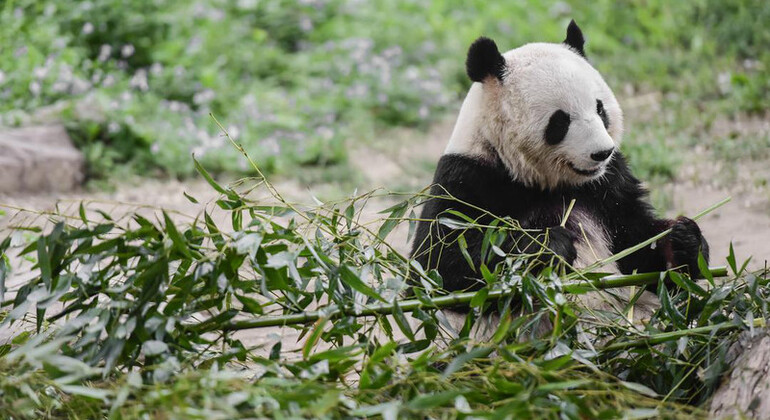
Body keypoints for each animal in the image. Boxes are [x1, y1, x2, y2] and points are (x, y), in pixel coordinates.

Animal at [408, 18, 708, 324]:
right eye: (561, 120)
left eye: (600, 109)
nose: (602, 152)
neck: (541, 180)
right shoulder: (468, 177)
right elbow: (439, 264)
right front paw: (549, 245)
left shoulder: (609, 183)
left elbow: (637, 248)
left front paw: (684, 239)